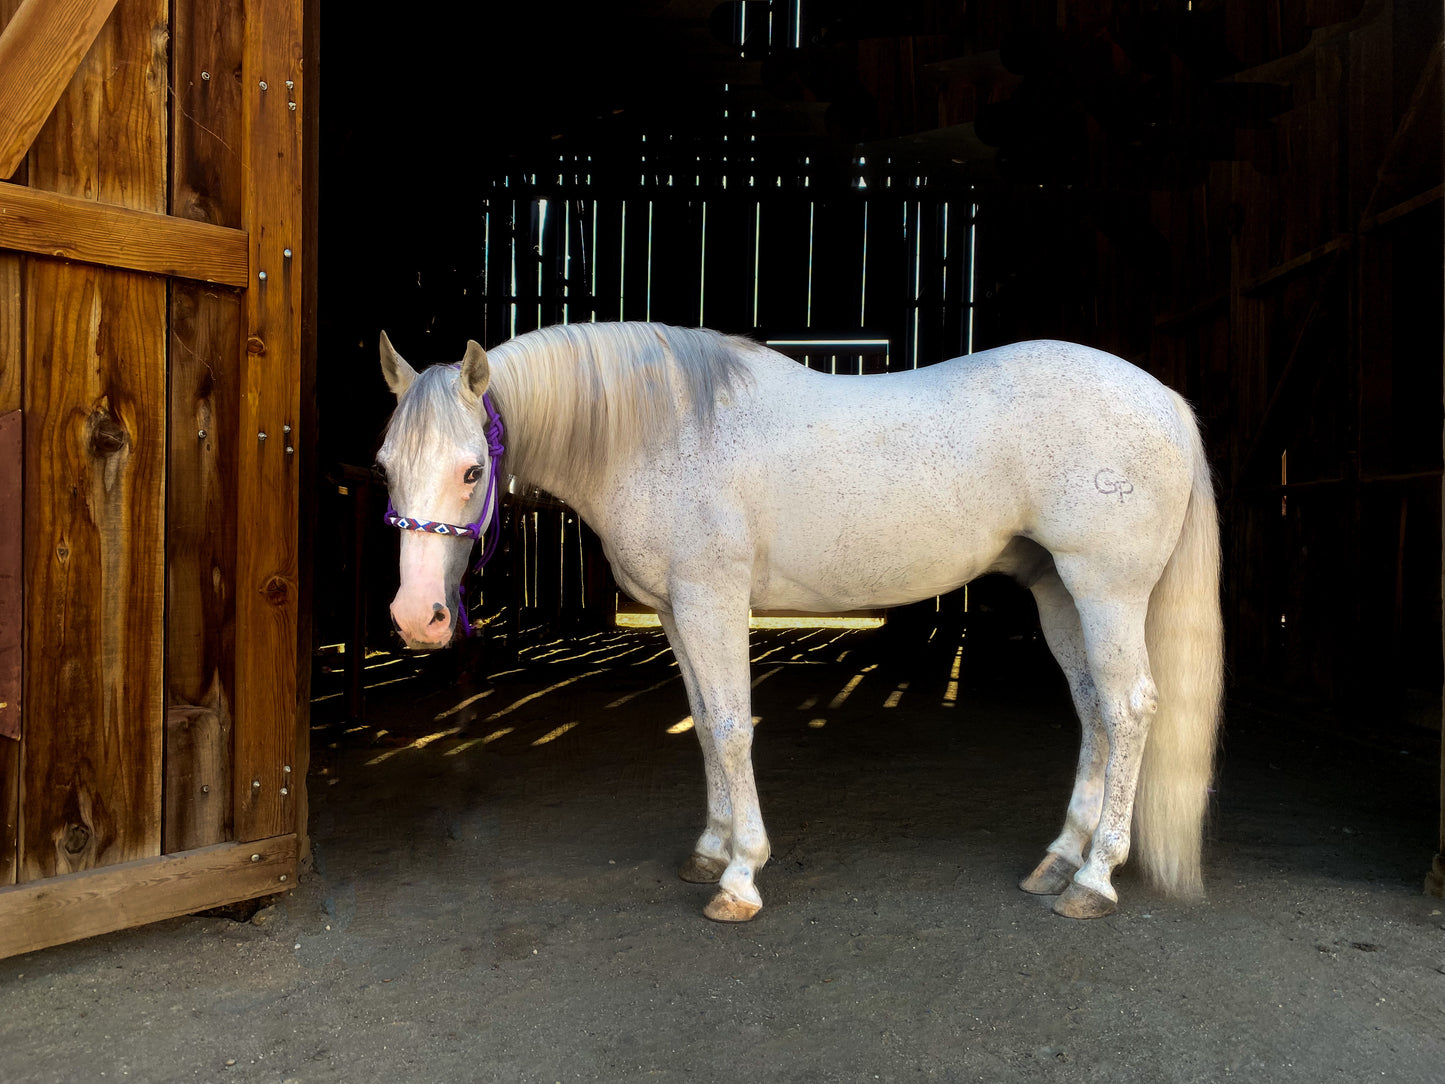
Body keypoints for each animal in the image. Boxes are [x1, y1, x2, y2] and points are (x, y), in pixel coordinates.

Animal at [375, 322, 1219, 925]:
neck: (662, 429)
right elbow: (702, 722)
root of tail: (1165, 400)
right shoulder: (676, 610)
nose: (417, 618)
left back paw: (1095, 879)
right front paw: (710, 851)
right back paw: (1059, 859)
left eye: (471, 470)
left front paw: (740, 876)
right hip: (1058, 592)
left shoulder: (712, 600)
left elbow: (729, 727)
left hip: (1105, 589)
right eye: (385, 465)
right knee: (1092, 711)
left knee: (1128, 708)